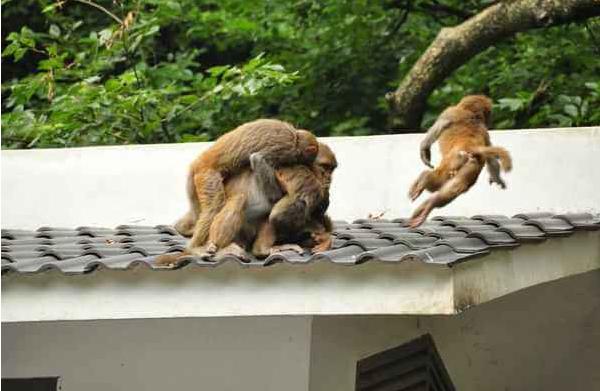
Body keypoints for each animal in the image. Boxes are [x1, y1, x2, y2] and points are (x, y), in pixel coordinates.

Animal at [176, 118, 322, 258]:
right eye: (304, 160)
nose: (308, 165)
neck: (295, 136)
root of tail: (199, 161)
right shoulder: (285, 149)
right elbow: (257, 159)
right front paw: (277, 195)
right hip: (206, 174)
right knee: (216, 205)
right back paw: (196, 247)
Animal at [408, 95, 510, 228]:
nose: (489, 120)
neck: (472, 115)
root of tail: (469, 148)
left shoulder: (450, 111)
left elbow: (438, 127)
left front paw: (424, 150)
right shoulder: (485, 133)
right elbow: (491, 158)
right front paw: (498, 179)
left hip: (449, 163)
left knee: (437, 181)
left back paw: (424, 181)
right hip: (469, 164)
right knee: (457, 186)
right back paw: (431, 203)